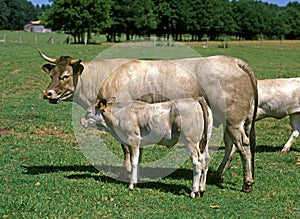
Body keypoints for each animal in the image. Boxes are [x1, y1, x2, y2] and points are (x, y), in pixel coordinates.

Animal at [81, 96, 213, 198]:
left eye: (88, 112)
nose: (81, 121)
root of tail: (196, 99)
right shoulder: (140, 144)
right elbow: (138, 161)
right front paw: (137, 181)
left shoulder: (133, 140)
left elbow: (133, 162)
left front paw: (131, 184)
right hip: (204, 142)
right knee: (205, 161)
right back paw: (201, 189)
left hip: (191, 142)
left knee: (197, 164)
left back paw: (194, 191)